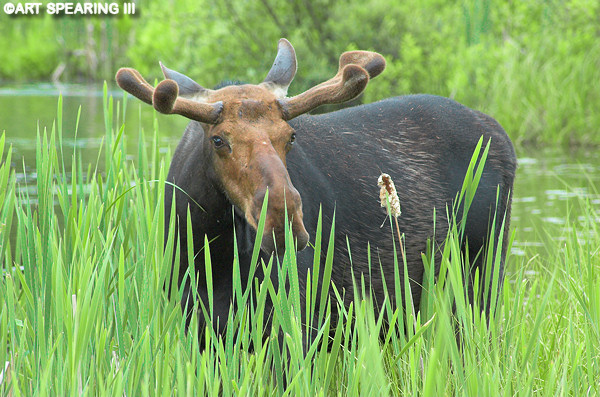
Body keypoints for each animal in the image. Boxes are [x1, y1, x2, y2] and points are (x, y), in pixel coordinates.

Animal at [116, 38, 516, 344]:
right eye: (218, 140)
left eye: (290, 136)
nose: (282, 219)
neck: (212, 249)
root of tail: (503, 137)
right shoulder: (197, 325)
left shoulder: (294, 325)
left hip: (480, 278)